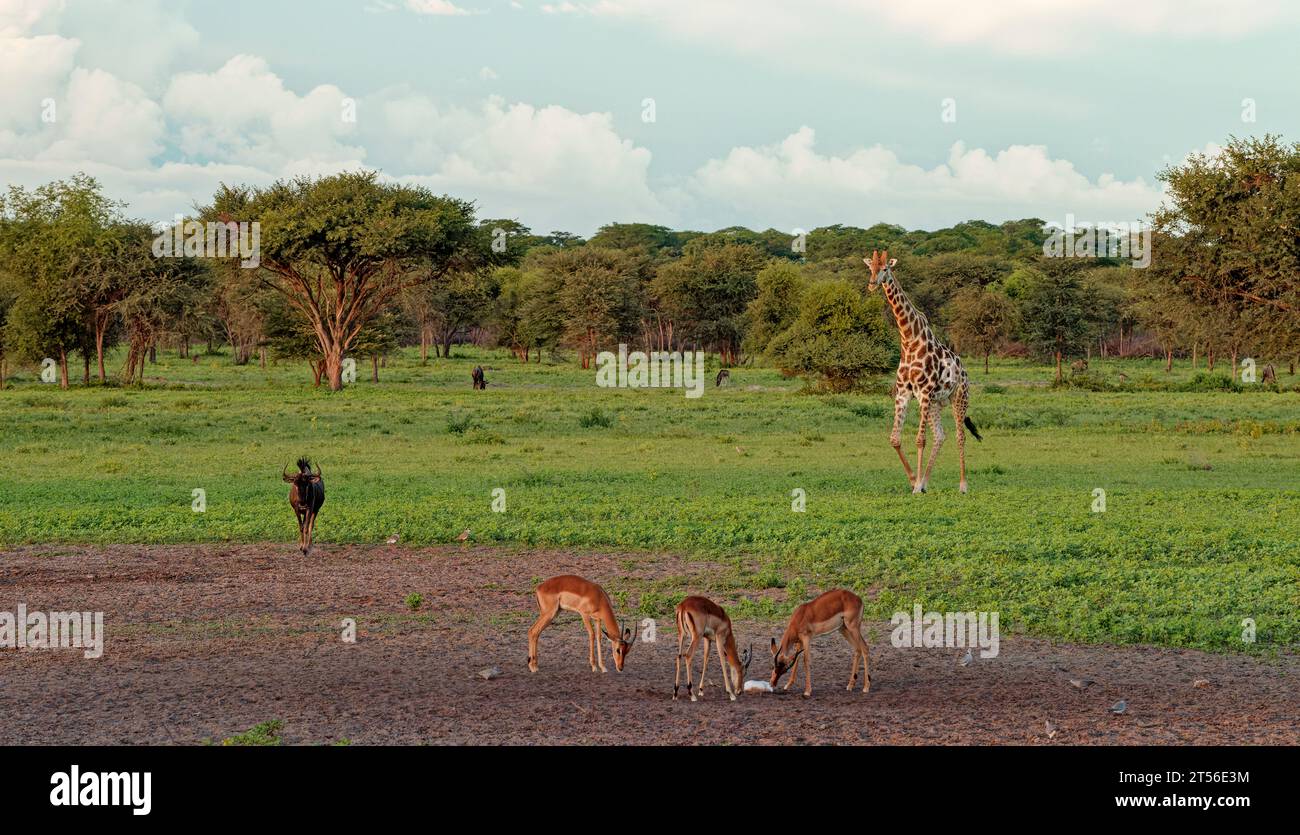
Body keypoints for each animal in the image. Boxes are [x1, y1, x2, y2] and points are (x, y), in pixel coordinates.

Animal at [864, 250, 981, 493]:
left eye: (885, 268)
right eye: (870, 268)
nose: (872, 284)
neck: (909, 339)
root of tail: (965, 372)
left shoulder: (924, 393)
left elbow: (919, 440)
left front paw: (916, 486)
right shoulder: (903, 393)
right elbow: (895, 439)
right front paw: (913, 481)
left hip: (959, 398)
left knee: (960, 436)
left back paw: (963, 485)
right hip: (936, 402)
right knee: (940, 436)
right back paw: (926, 481)